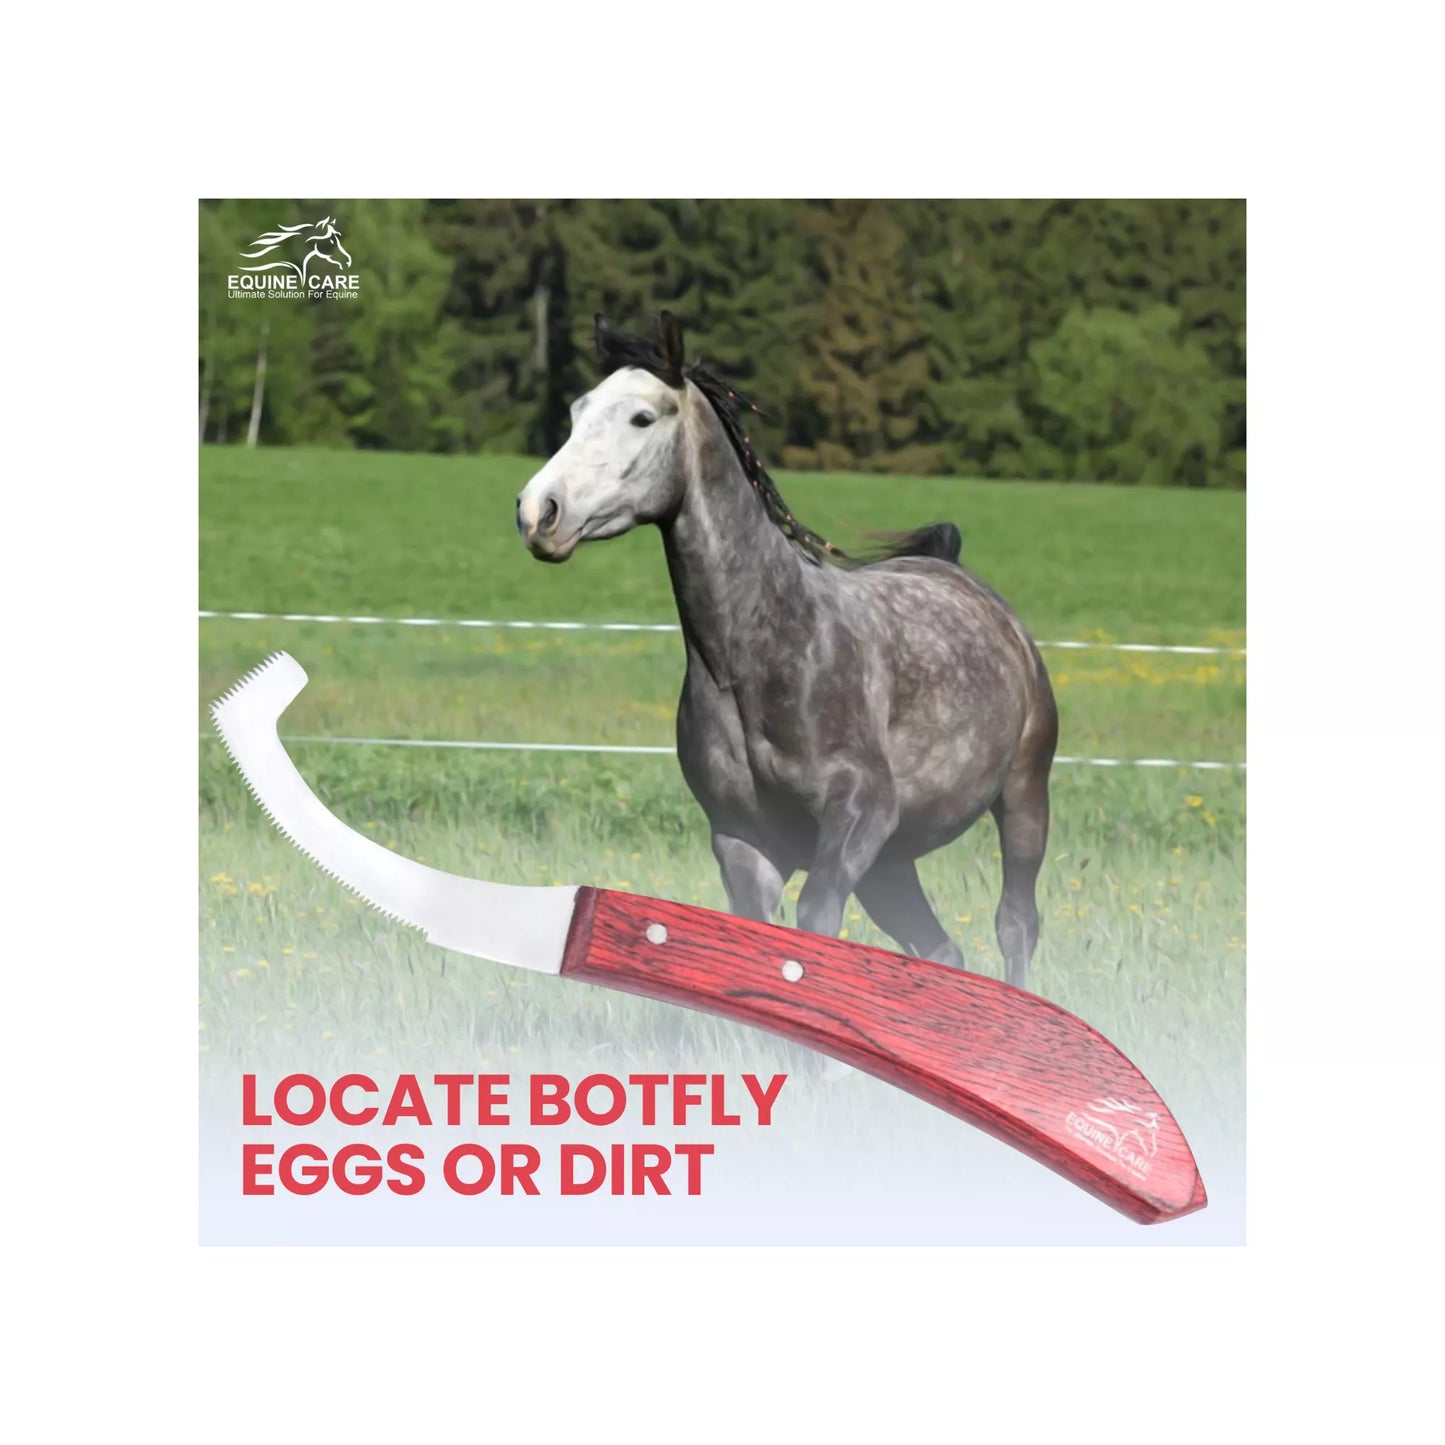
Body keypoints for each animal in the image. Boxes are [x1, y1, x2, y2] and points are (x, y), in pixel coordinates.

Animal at [515, 313, 1058, 989]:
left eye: (642, 417)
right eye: (576, 410)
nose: (540, 512)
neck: (767, 655)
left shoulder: (856, 821)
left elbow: (815, 932)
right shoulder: (743, 842)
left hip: (1022, 799)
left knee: (1015, 925)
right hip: (891, 864)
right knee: (940, 952)